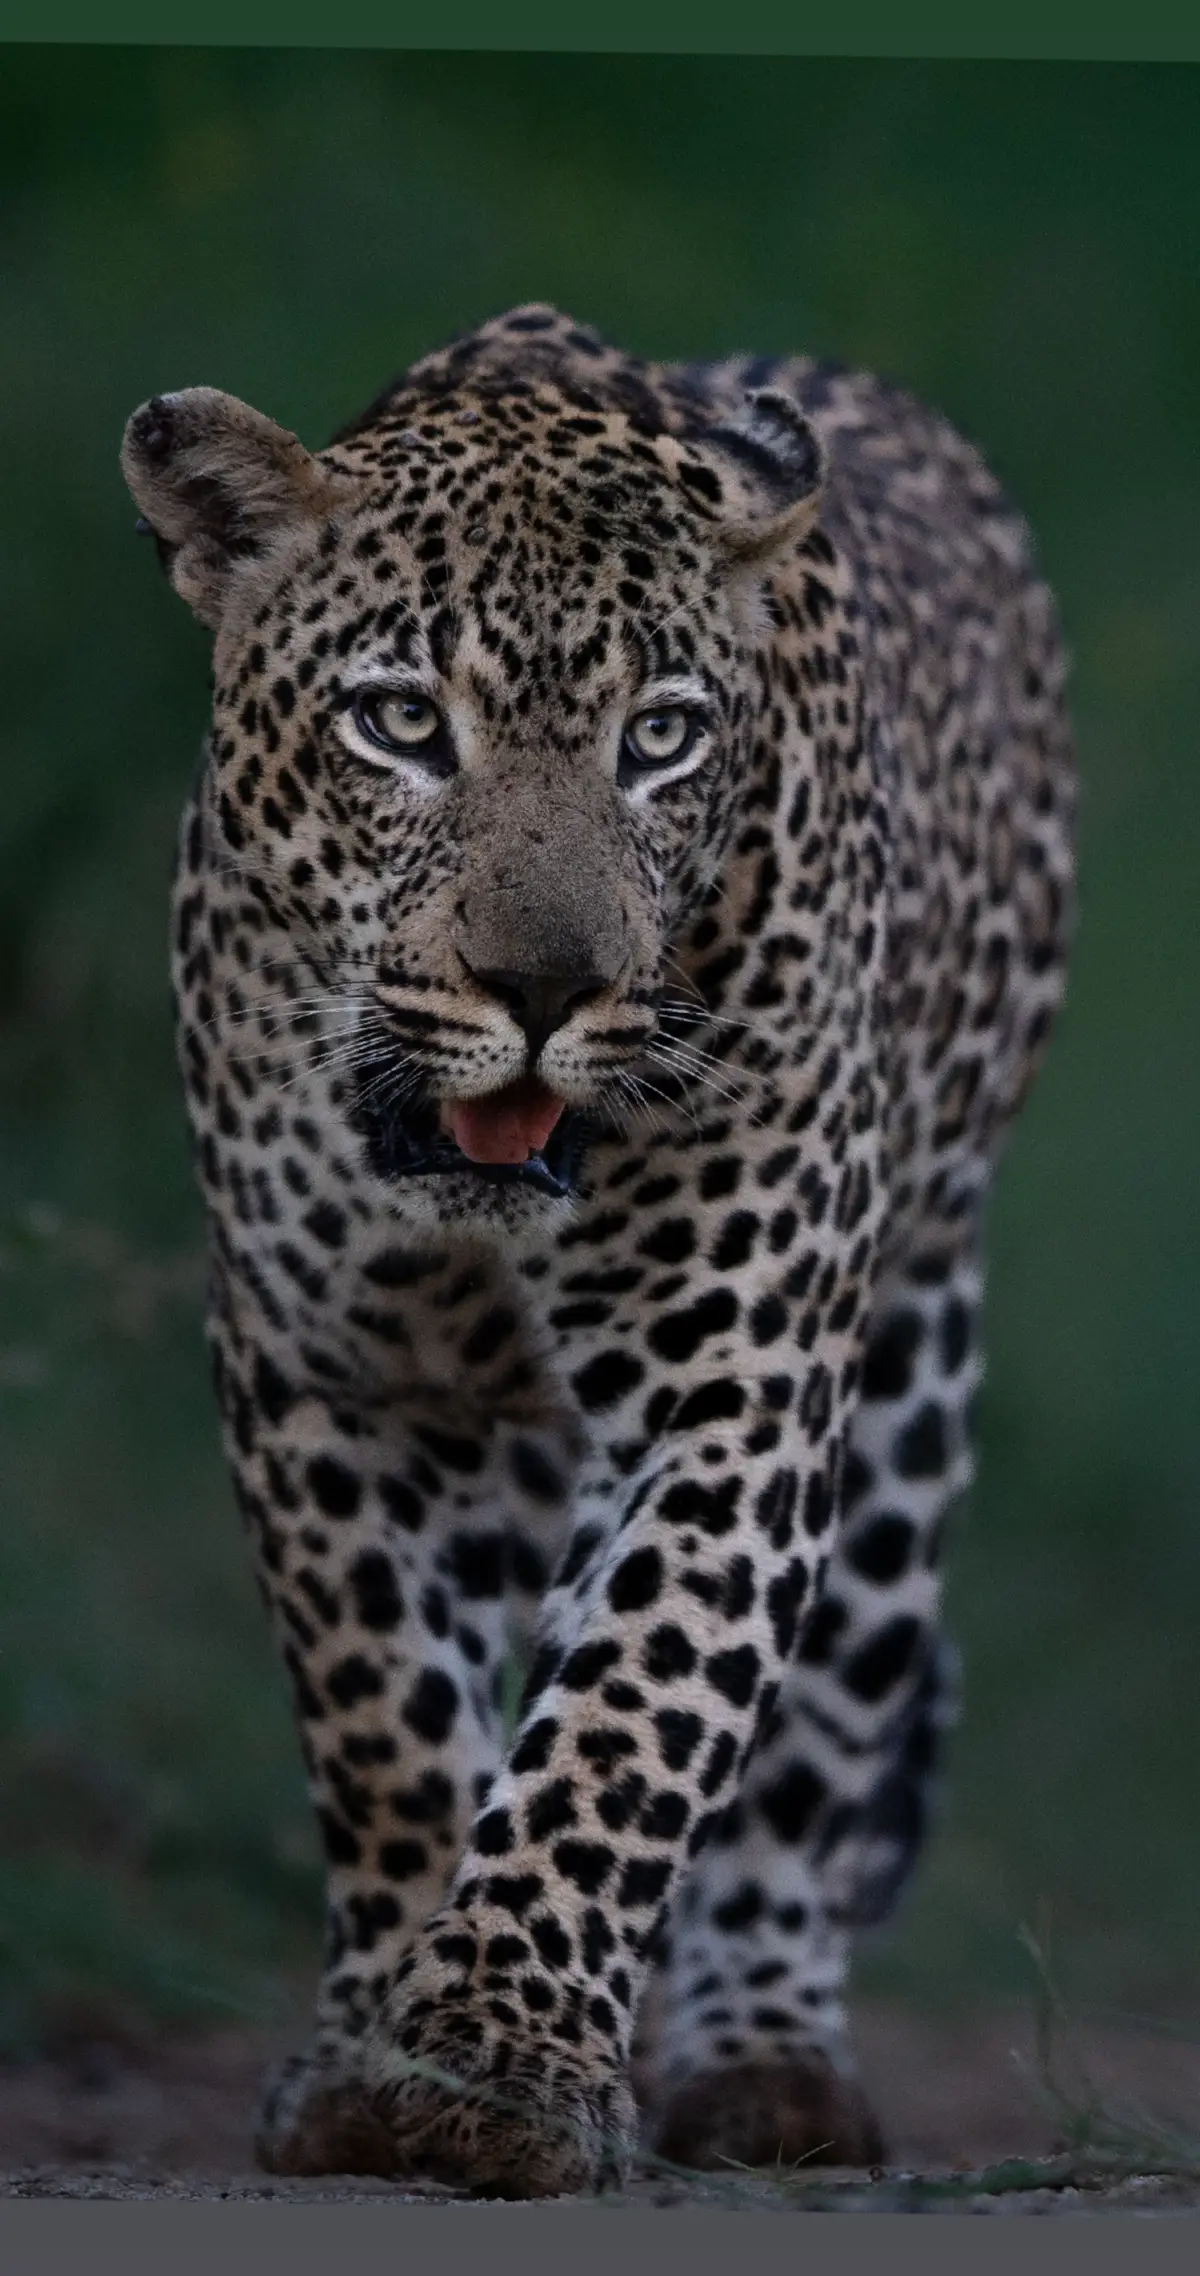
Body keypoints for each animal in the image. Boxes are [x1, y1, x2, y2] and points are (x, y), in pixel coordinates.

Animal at [121, 307, 1074, 2203]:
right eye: (401, 723)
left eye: (664, 739)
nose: (546, 990)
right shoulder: (328, 1377)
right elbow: (387, 1716)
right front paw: (380, 2057)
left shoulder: (731, 1396)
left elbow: (628, 1716)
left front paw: (499, 2063)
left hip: (905, 1386)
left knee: (806, 1768)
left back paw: (765, 2065)